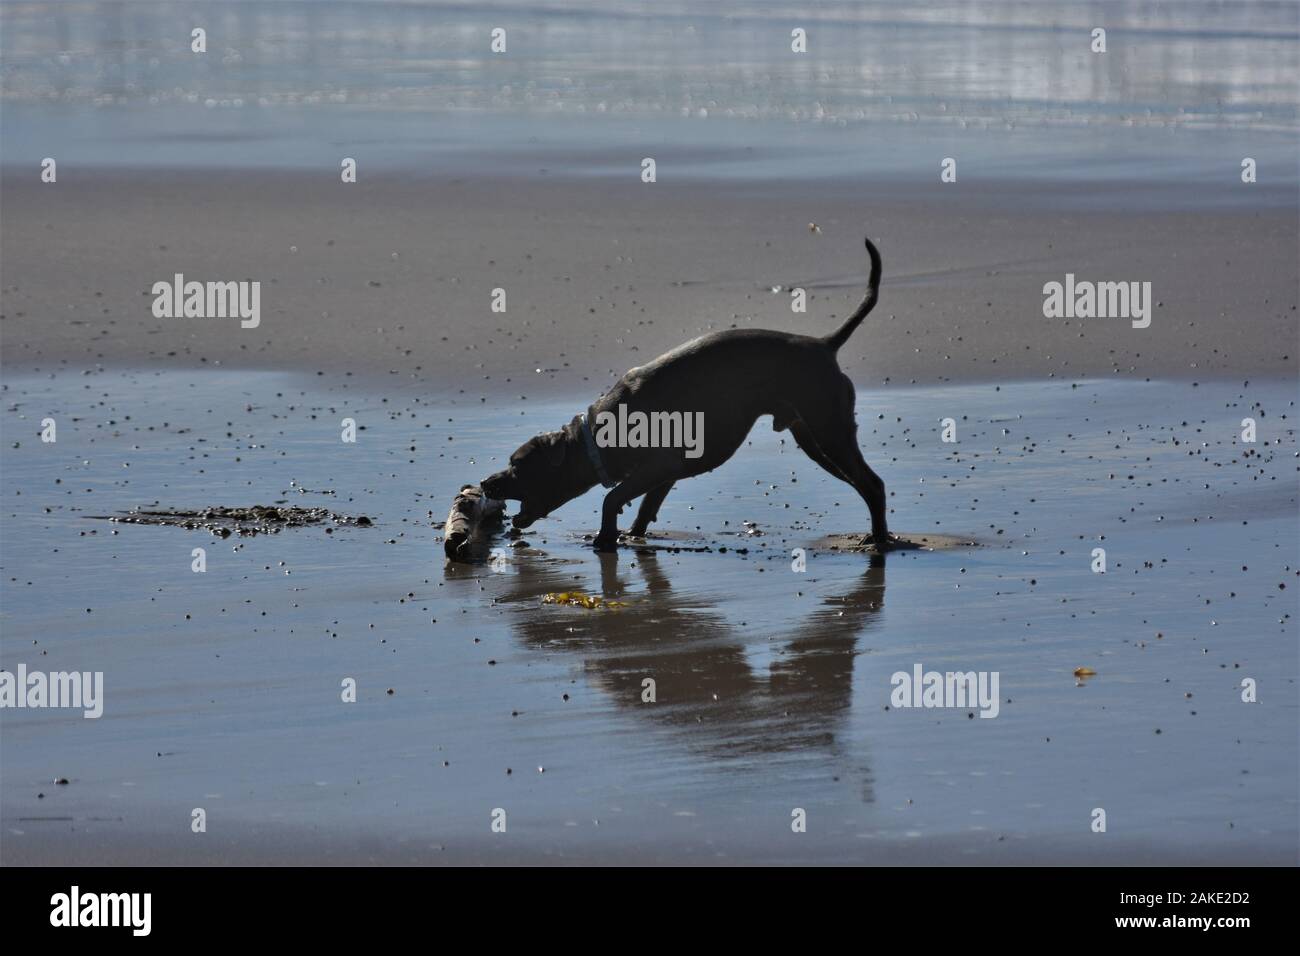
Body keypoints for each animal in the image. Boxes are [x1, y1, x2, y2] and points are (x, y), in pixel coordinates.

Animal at [483, 235, 899, 554]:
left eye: (517, 465)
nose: (487, 483)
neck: (594, 438)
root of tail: (825, 344)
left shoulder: (660, 464)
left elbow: (611, 498)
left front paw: (605, 539)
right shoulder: (665, 473)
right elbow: (644, 506)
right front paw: (632, 535)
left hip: (829, 432)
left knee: (873, 484)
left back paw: (877, 540)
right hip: (814, 438)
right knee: (864, 484)